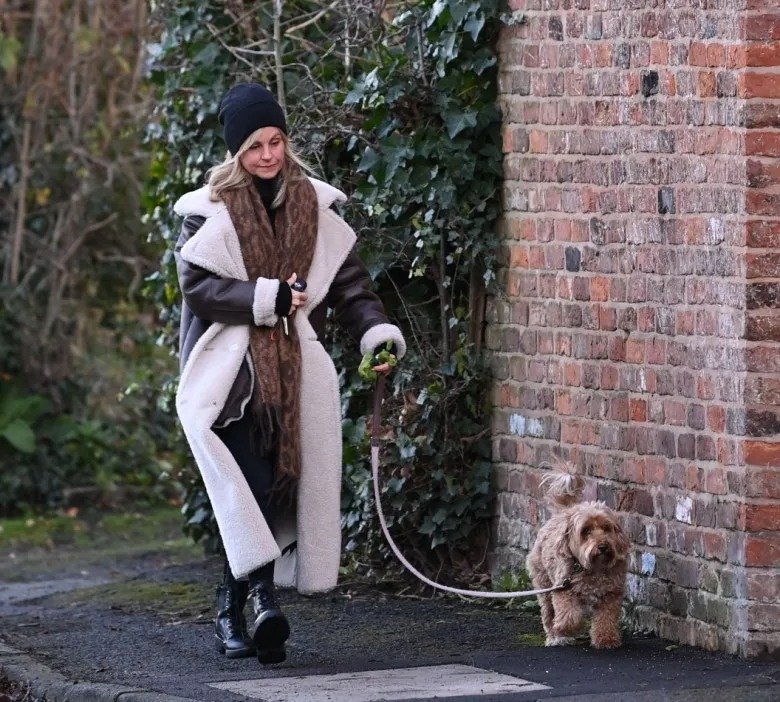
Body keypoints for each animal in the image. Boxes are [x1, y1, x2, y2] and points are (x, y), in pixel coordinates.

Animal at [527, 470, 630, 648]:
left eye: (606, 528)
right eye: (586, 530)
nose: (603, 546)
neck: (594, 568)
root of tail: (563, 512)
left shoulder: (610, 595)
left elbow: (606, 619)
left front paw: (606, 639)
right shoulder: (564, 590)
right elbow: (570, 615)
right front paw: (564, 629)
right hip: (544, 585)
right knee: (548, 614)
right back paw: (555, 637)